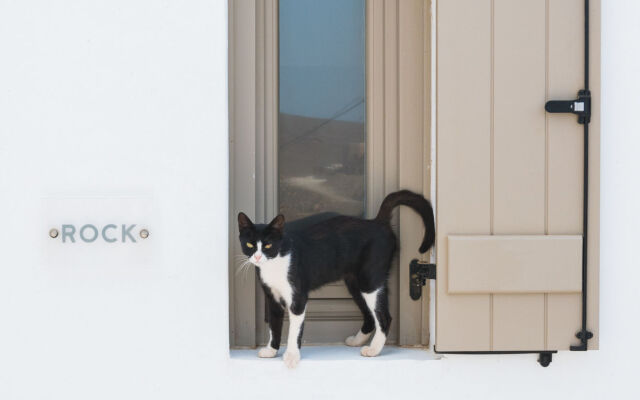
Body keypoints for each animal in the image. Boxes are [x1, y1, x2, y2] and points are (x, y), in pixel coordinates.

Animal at [238, 189, 438, 368]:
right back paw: (357, 340)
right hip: (354, 283)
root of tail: (377, 222)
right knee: (369, 315)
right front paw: (271, 350)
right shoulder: (272, 297)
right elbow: (274, 324)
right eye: (249, 244)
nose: (257, 257)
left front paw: (292, 356)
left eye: (268, 245)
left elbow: (295, 330)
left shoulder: (298, 297)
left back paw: (374, 350)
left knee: (384, 316)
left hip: (370, 280)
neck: (275, 264)